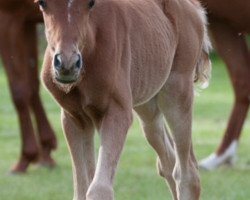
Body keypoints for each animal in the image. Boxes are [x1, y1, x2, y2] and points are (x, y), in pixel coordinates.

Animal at [0, 0, 57, 173]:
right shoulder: (27, 22)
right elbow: (32, 86)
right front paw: (46, 151)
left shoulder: (7, 18)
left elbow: (19, 91)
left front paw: (26, 157)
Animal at [37, 0, 211, 199]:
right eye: (42, 3)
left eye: (90, 3)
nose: (67, 63)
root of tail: (195, 7)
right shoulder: (74, 118)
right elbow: (82, 189)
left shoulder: (117, 112)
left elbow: (99, 189)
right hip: (148, 103)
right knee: (167, 161)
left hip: (176, 91)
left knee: (187, 173)